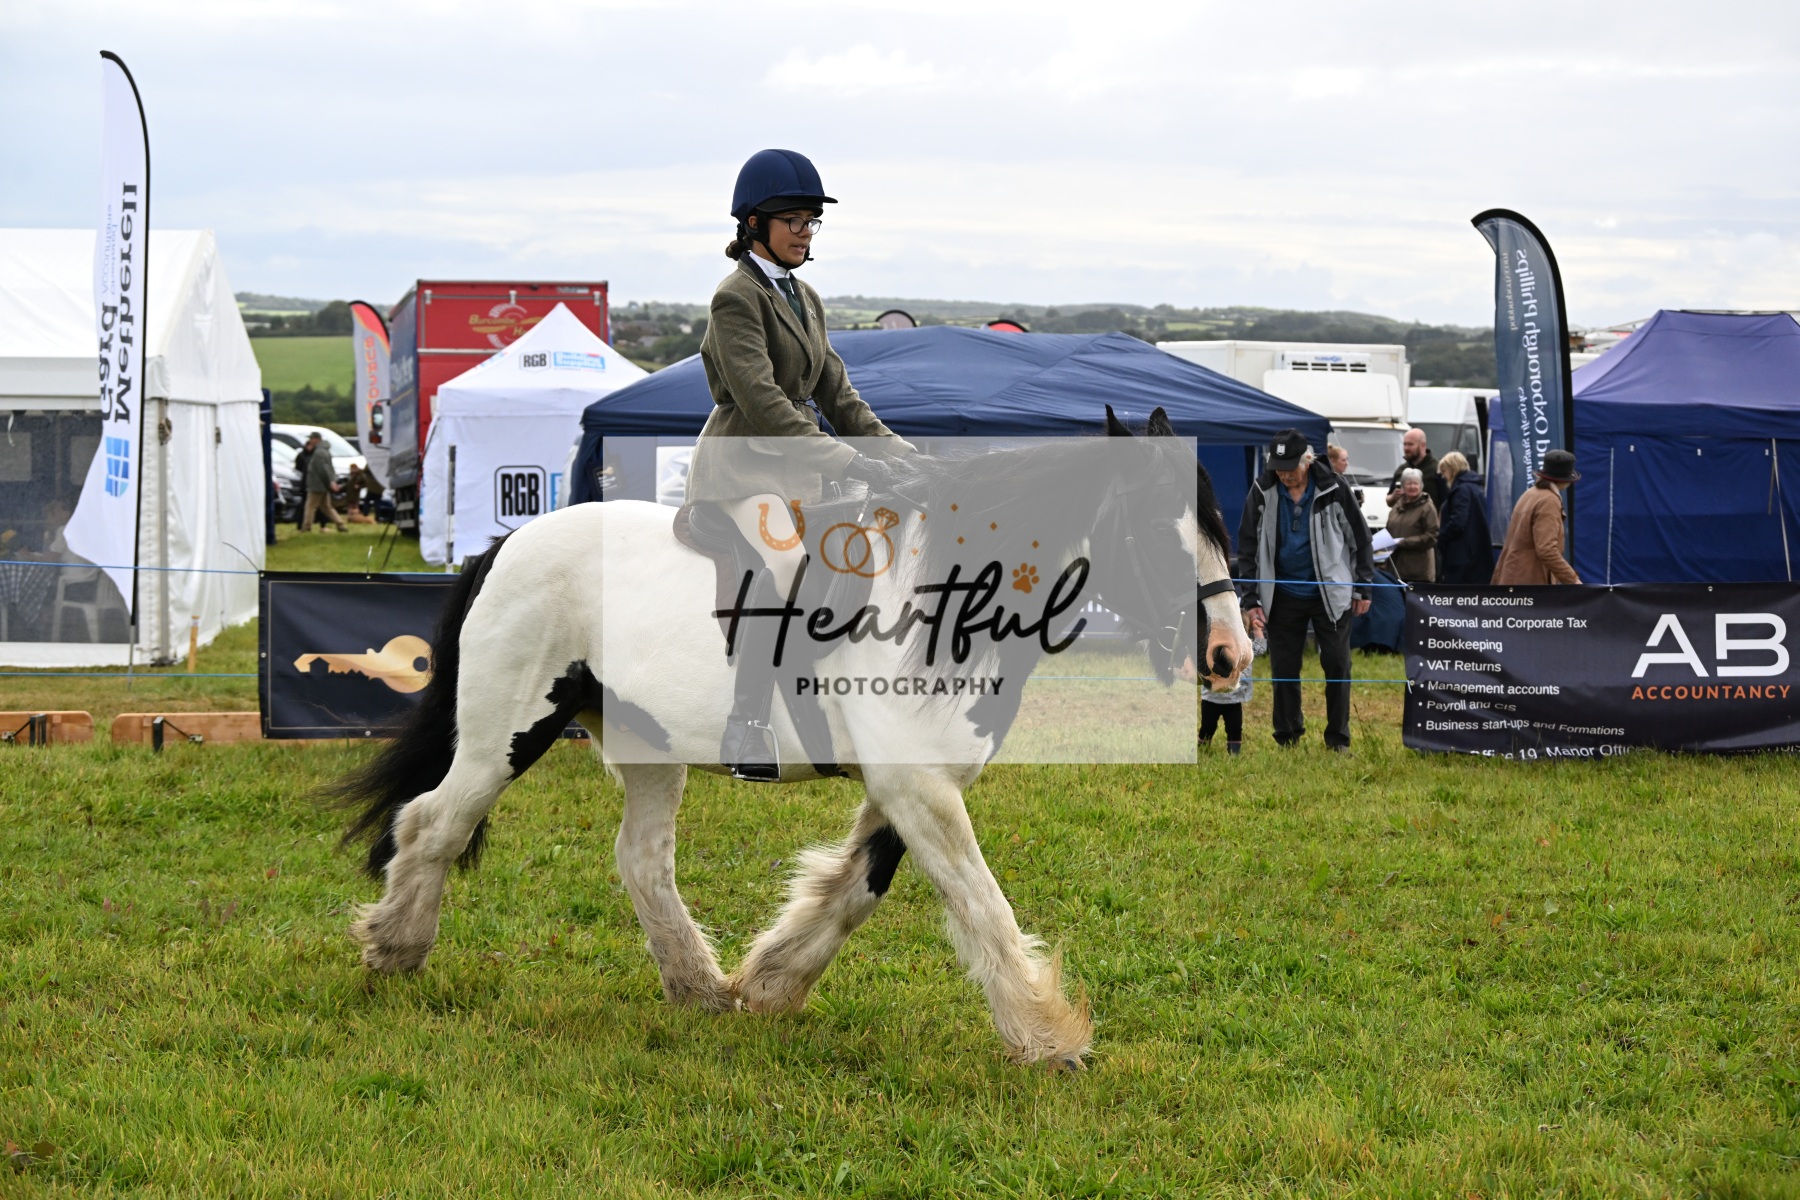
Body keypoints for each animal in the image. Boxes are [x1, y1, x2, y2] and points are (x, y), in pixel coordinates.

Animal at [334, 406, 1250, 1068]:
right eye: (1158, 531)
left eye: (1220, 527)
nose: (1230, 655)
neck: (941, 601)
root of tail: (504, 545)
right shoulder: (918, 785)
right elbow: (978, 900)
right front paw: (1048, 1035)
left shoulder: (912, 784)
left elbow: (859, 886)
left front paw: (772, 983)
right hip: (509, 731)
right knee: (435, 823)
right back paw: (394, 949)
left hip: (647, 746)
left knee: (640, 858)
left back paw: (699, 987)